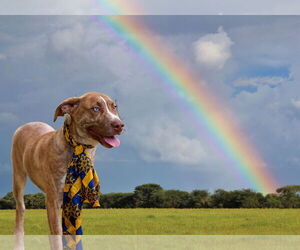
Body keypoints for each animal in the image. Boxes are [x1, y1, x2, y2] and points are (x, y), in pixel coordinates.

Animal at [11, 92, 124, 250]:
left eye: (114, 107)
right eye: (95, 108)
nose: (120, 125)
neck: (78, 149)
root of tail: (28, 124)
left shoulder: (73, 200)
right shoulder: (54, 200)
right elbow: (58, 233)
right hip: (18, 177)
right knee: (20, 211)